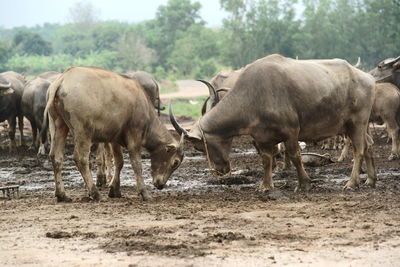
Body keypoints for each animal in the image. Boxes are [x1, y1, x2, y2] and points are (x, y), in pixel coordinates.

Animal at [43, 66, 184, 202]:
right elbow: (136, 164)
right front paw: (144, 193)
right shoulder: (134, 137)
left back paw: (62, 195)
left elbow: (119, 161)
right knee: (81, 159)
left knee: (56, 157)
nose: (160, 185)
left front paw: (115, 190)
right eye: (175, 162)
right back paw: (95, 194)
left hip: (58, 125)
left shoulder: (115, 139)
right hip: (83, 132)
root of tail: (62, 80)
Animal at [170, 54, 376, 193]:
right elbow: (266, 160)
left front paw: (304, 183)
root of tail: (368, 78)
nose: (220, 171)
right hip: (360, 125)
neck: (253, 96)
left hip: (357, 123)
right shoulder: (262, 137)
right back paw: (371, 180)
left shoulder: (291, 132)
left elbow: (295, 156)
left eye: (199, 148)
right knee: (369, 146)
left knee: (359, 150)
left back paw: (352, 182)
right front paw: (266, 185)